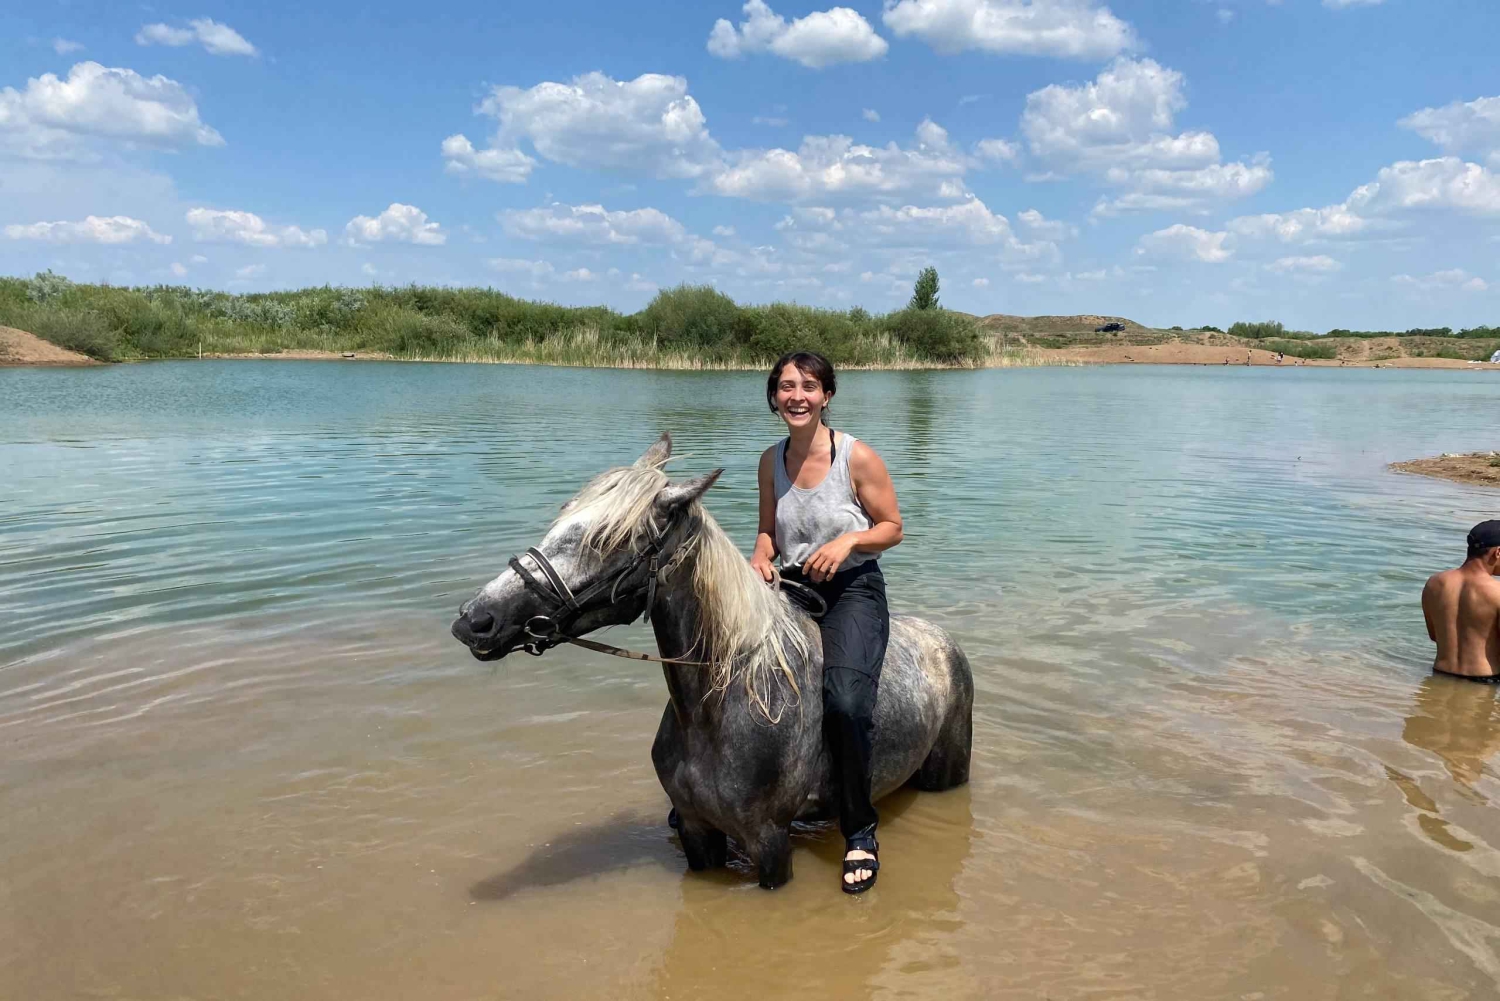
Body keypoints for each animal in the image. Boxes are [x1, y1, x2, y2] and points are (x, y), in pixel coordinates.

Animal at [451, 433, 973, 889]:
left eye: (604, 539)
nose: (476, 620)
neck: (722, 704)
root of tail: (943, 640)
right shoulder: (696, 830)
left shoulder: (769, 840)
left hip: (948, 774)